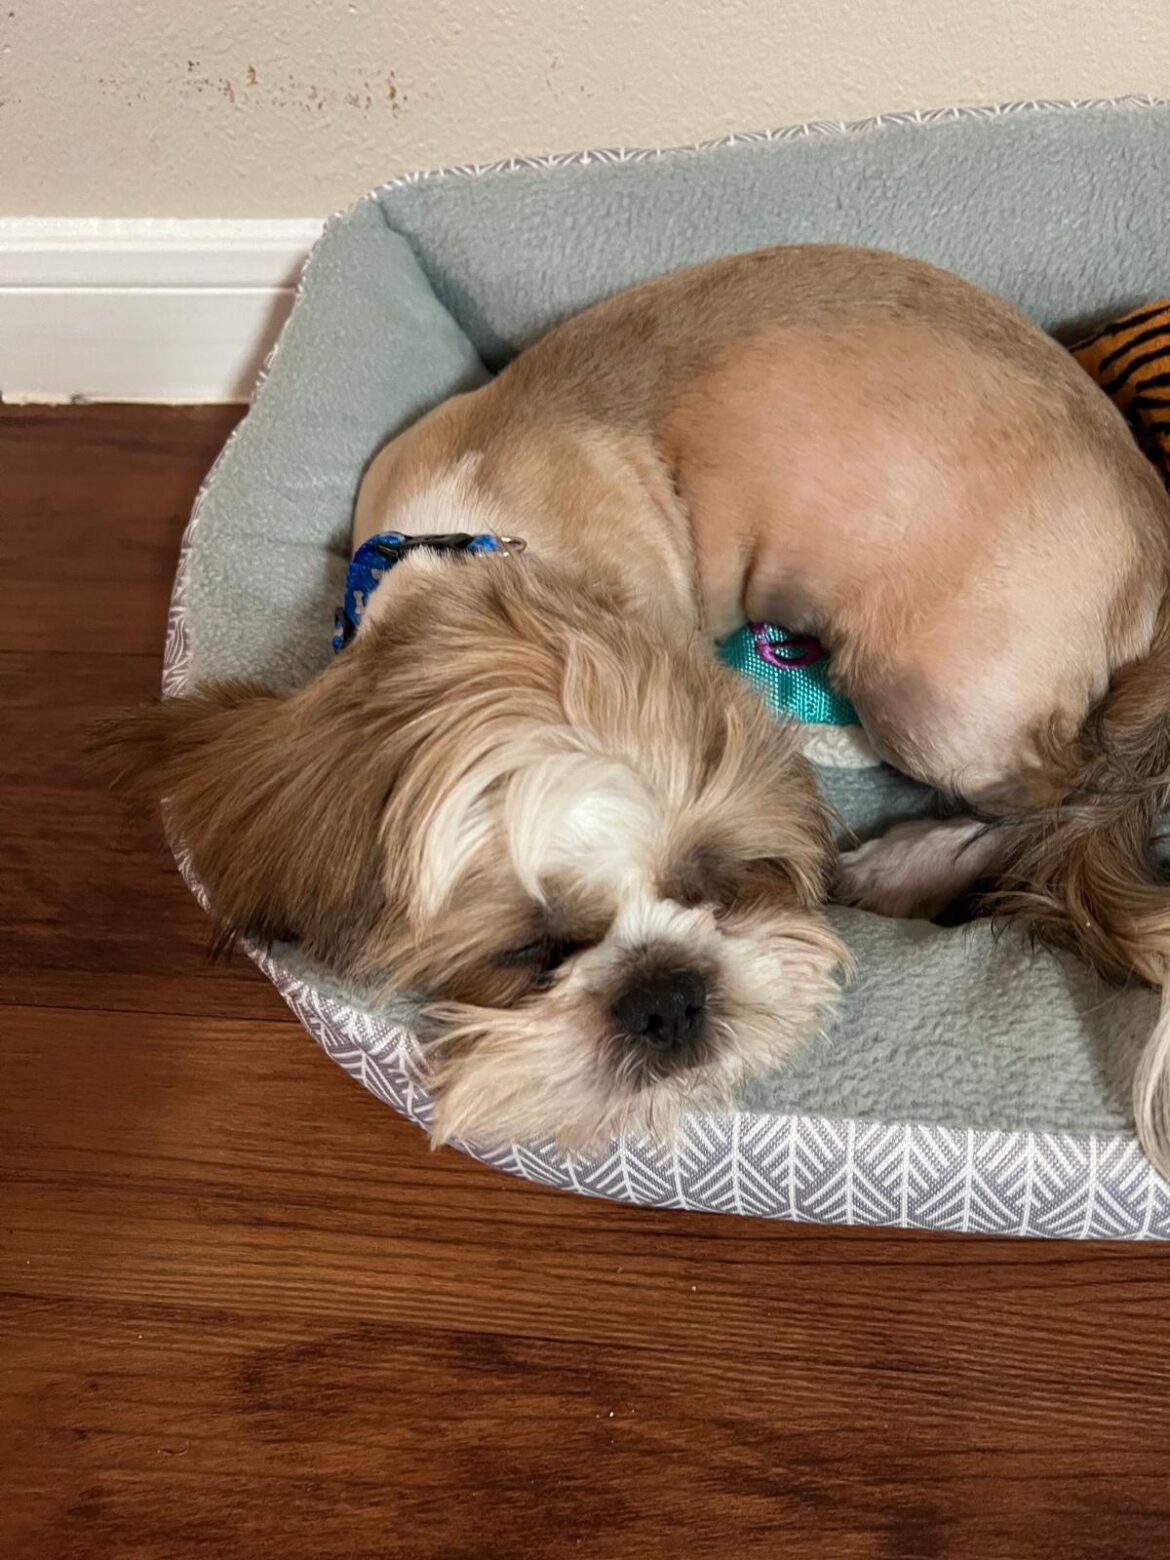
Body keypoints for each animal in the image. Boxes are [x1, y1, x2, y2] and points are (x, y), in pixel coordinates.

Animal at [100, 244, 1170, 1170]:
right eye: (534, 952)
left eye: (716, 884)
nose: (665, 997)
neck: (484, 565)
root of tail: (1154, 535)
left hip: (929, 693)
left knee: (1051, 800)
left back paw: (905, 843)